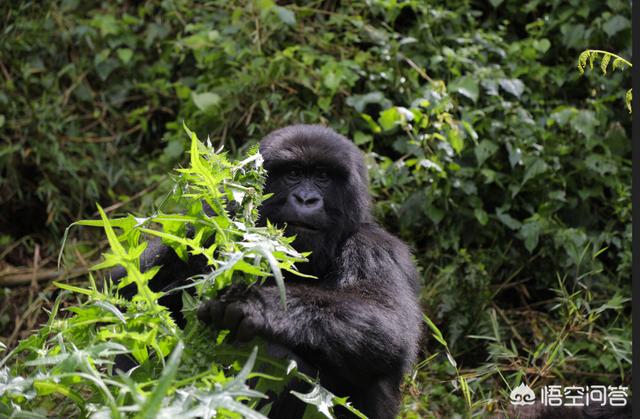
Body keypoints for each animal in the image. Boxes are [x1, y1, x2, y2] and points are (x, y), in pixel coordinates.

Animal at [114, 125, 424, 419]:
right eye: (294, 174)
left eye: (323, 176)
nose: (306, 199)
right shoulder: (202, 230)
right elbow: (127, 296)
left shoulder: (375, 249)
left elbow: (387, 325)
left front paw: (255, 305)